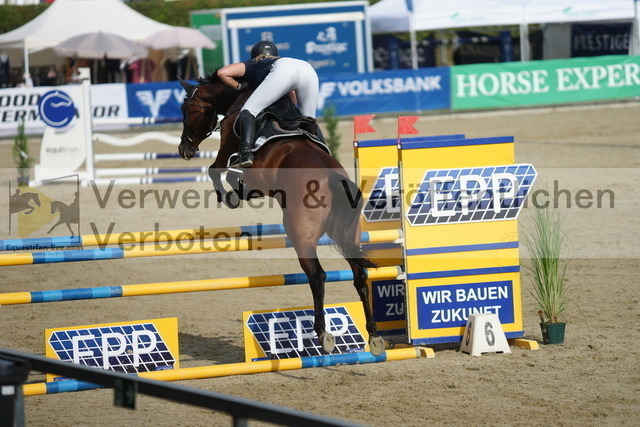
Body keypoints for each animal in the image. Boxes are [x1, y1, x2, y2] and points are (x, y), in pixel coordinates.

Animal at [176, 74, 384, 358]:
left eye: (186, 109)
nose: (184, 148)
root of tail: (333, 178)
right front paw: (239, 193)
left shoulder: (230, 153)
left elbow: (217, 170)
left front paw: (231, 196)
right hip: (349, 235)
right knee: (360, 275)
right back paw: (374, 335)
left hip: (301, 236)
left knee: (317, 276)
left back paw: (323, 333)